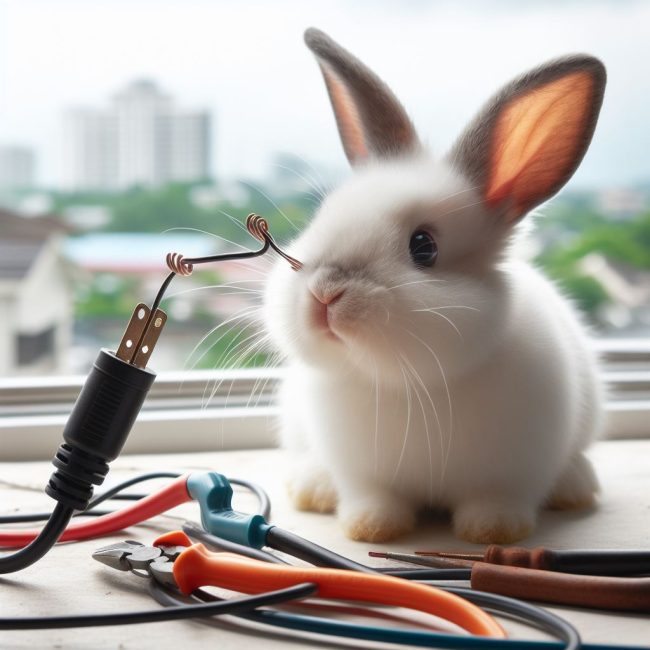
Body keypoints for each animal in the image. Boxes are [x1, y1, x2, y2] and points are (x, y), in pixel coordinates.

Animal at [263, 27, 607, 544]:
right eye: (320, 221)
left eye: (423, 246)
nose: (325, 293)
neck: (409, 385)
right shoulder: (362, 474)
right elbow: (373, 498)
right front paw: (371, 527)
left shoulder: (513, 473)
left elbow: (498, 500)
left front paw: (493, 531)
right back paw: (314, 489)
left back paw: (575, 487)